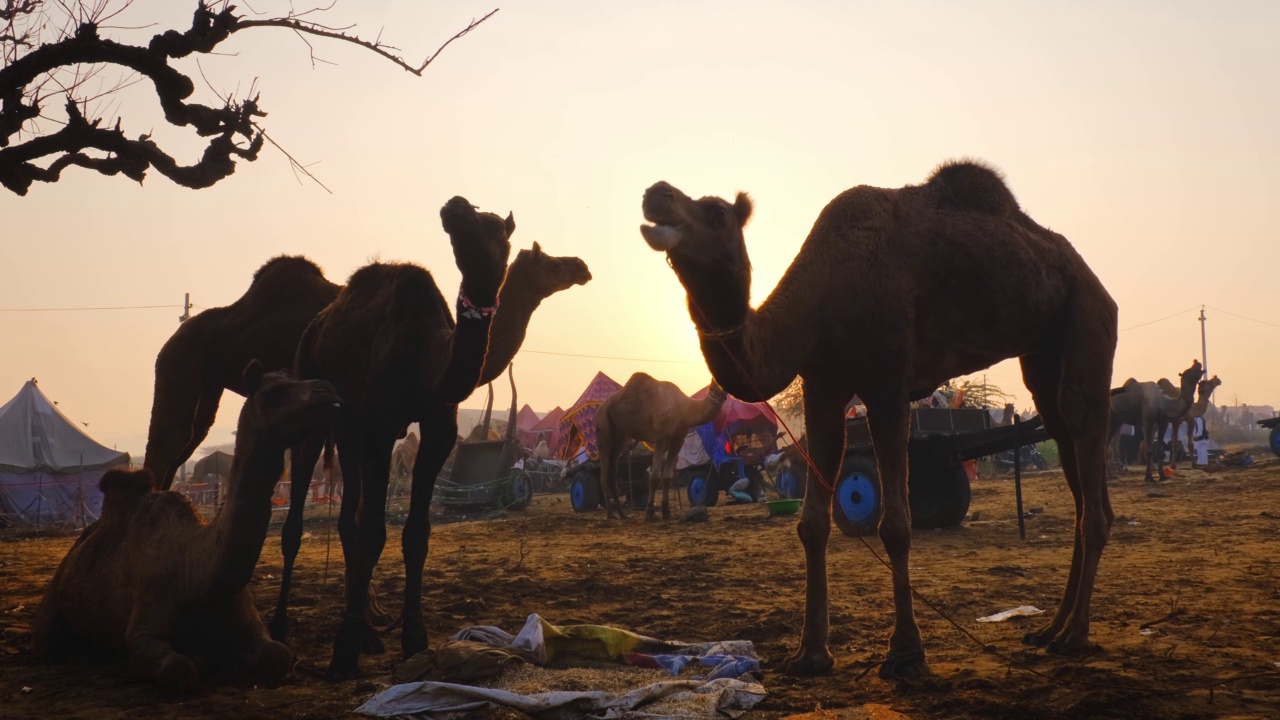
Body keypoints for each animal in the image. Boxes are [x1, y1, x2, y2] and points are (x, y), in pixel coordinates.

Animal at [30, 361, 340, 691]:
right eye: (274, 392)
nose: (327, 390)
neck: (195, 575)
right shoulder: (142, 632)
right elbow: (178, 668)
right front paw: (201, 660)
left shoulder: (250, 621)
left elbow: (277, 654)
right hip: (51, 610)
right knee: (45, 642)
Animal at [593, 371, 727, 517]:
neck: (684, 409)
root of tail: (599, 409)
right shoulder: (659, 438)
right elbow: (655, 477)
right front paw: (649, 513)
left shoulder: (678, 440)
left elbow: (667, 477)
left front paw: (666, 512)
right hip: (603, 429)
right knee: (603, 475)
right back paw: (610, 515)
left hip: (619, 438)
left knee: (612, 474)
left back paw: (623, 515)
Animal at [640, 158, 1121, 676]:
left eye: (714, 212)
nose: (656, 193)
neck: (822, 292)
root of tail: (1097, 283)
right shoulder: (822, 387)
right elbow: (812, 524)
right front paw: (811, 653)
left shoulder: (887, 381)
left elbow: (895, 524)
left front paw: (905, 651)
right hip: (1042, 353)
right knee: (1072, 463)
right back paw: (1050, 628)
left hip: (1087, 319)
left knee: (1083, 441)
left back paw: (1074, 635)